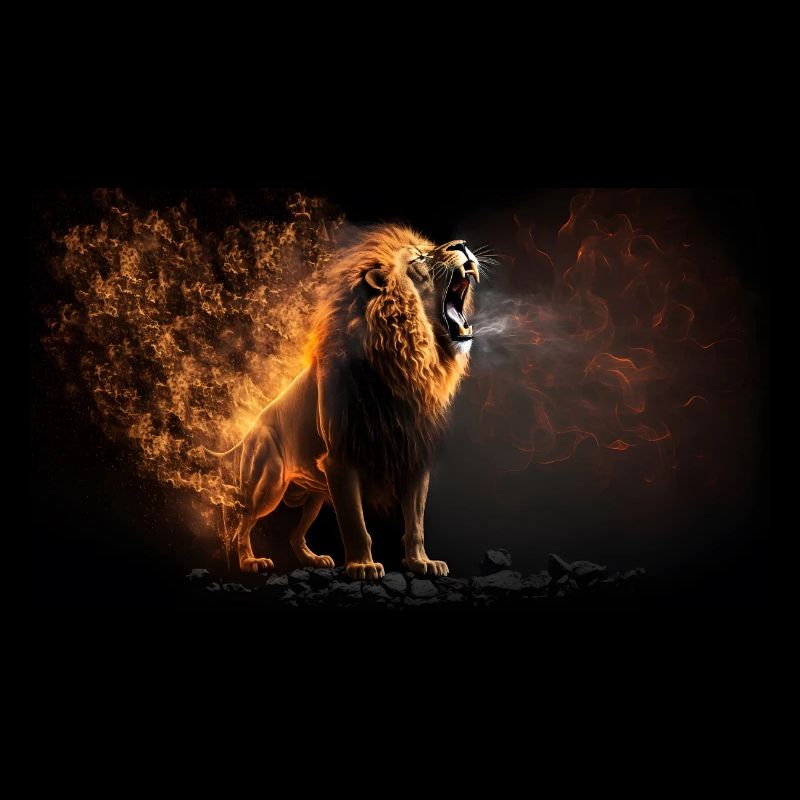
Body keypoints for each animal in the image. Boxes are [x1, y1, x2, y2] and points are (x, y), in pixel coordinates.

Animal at [207, 225, 481, 579]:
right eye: (419, 258)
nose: (462, 243)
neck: (403, 361)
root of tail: (251, 427)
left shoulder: (413, 456)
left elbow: (415, 524)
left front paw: (422, 562)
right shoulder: (341, 460)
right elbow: (354, 524)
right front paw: (363, 566)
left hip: (313, 494)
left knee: (295, 535)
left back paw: (313, 559)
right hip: (267, 482)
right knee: (243, 522)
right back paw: (250, 562)